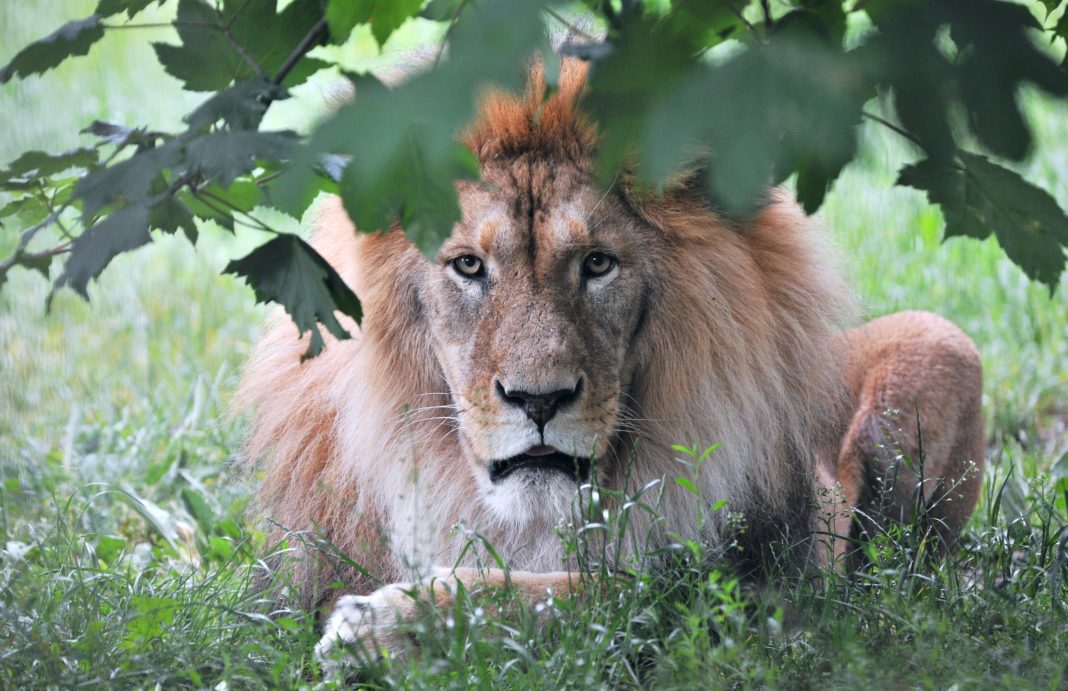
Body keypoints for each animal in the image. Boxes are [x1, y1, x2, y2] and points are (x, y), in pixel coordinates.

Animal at [233, 58, 982, 653]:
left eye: (597, 263)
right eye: (469, 265)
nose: (538, 400)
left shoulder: (767, 586)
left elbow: (599, 591)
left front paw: (390, 626)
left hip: (940, 345)